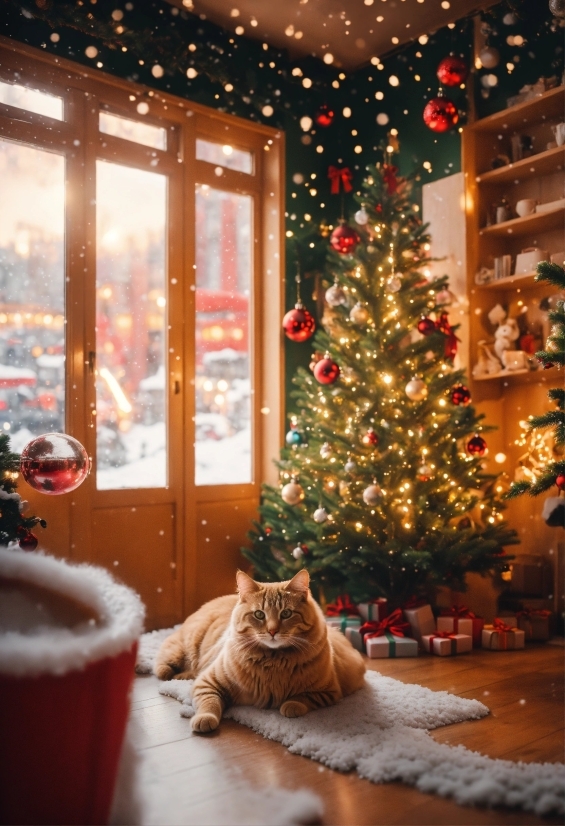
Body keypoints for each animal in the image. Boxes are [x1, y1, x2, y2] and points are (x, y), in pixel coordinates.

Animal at [154, 568, 366, 732]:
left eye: (286, 613)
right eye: (259, 614)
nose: (272, 631)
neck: (273, 661)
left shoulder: (328, 692)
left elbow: (300, 699)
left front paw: (290, 706)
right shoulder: (207, 682)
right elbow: (209, 703)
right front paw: (204, 719)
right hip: (182, 652)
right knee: (164, 668)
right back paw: (179, 675)